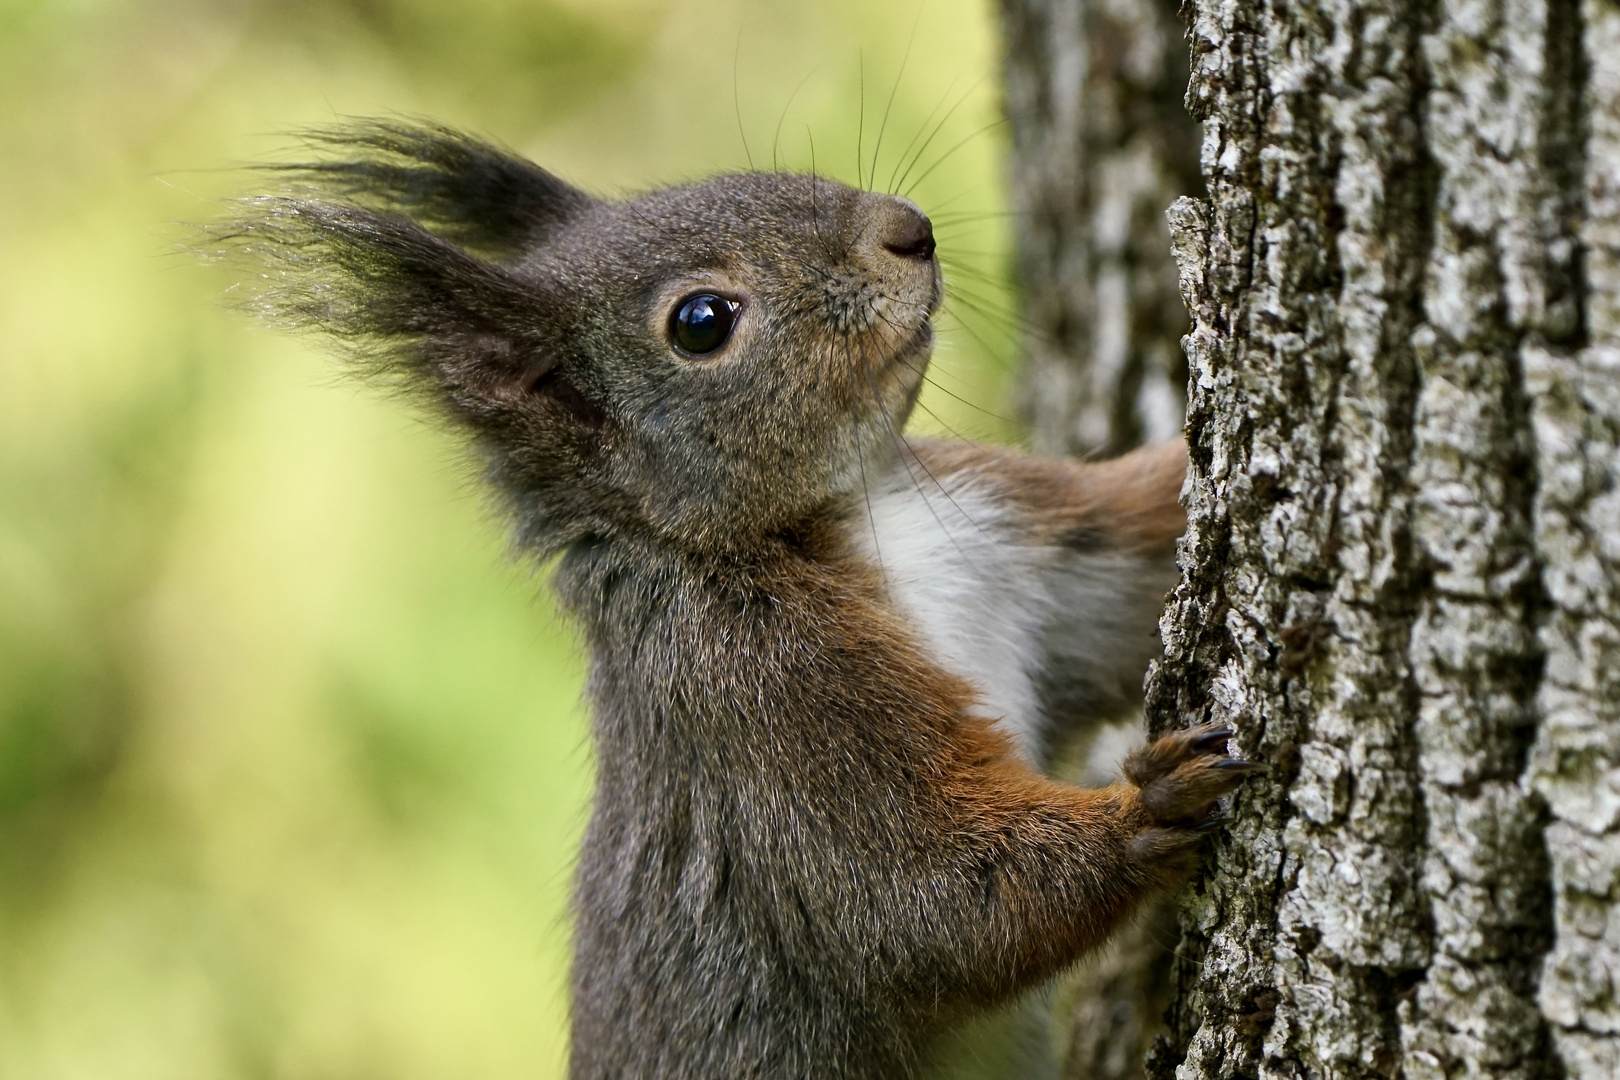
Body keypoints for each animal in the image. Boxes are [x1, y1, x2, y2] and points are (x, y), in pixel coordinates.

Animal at [218, 122, 1250, 1075]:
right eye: (702, 321)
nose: (907, 231)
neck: (858, 511)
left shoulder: (1017, 541)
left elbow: (1132, 563)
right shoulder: (756, 709)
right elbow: (923, 898)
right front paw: (1149, 807)